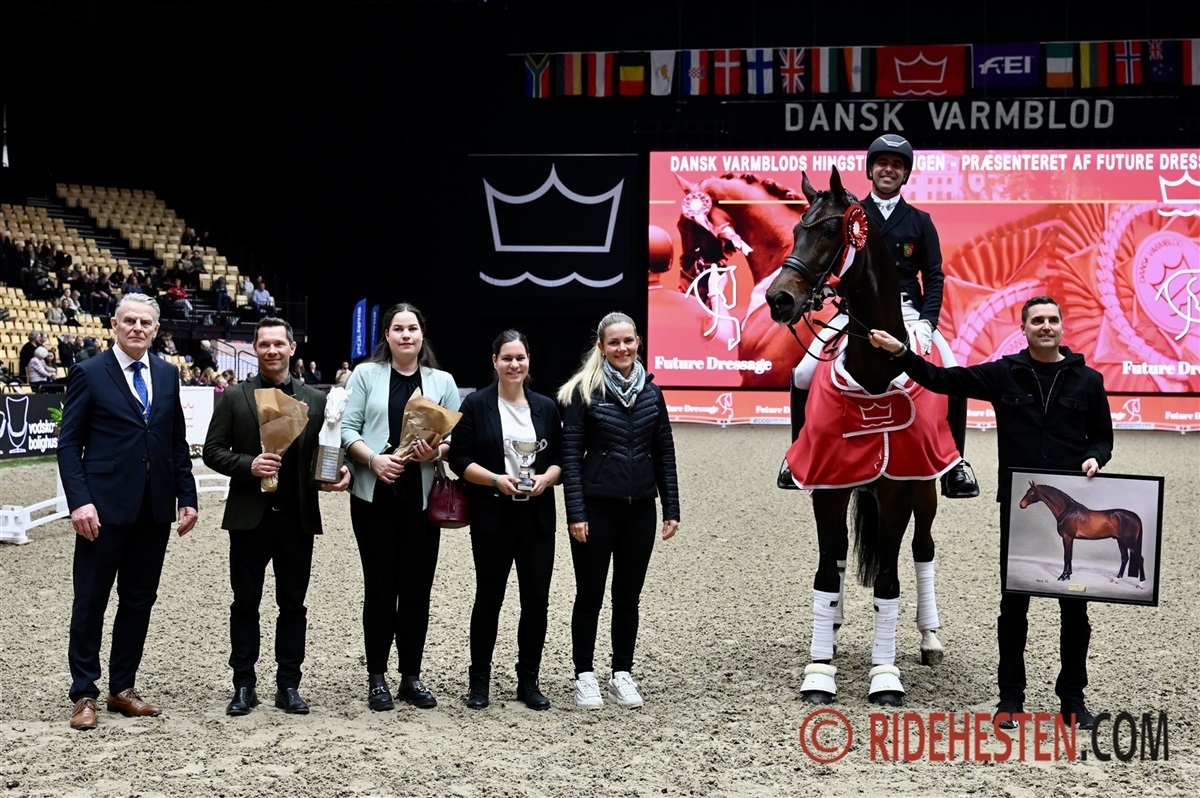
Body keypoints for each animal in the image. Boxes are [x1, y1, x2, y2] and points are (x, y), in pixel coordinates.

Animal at [764, 167, 960, 706]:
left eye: (833, 231)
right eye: (796, 230)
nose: (778, 299)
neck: (874, 370)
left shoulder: (897, 491)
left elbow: (889, 583)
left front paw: (885, 676)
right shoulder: (828, 486)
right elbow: (825, 573)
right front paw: (818, 670)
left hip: (926, 489)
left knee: (923, 549)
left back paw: (929, 639)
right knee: (837, 554)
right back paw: (830, 630)